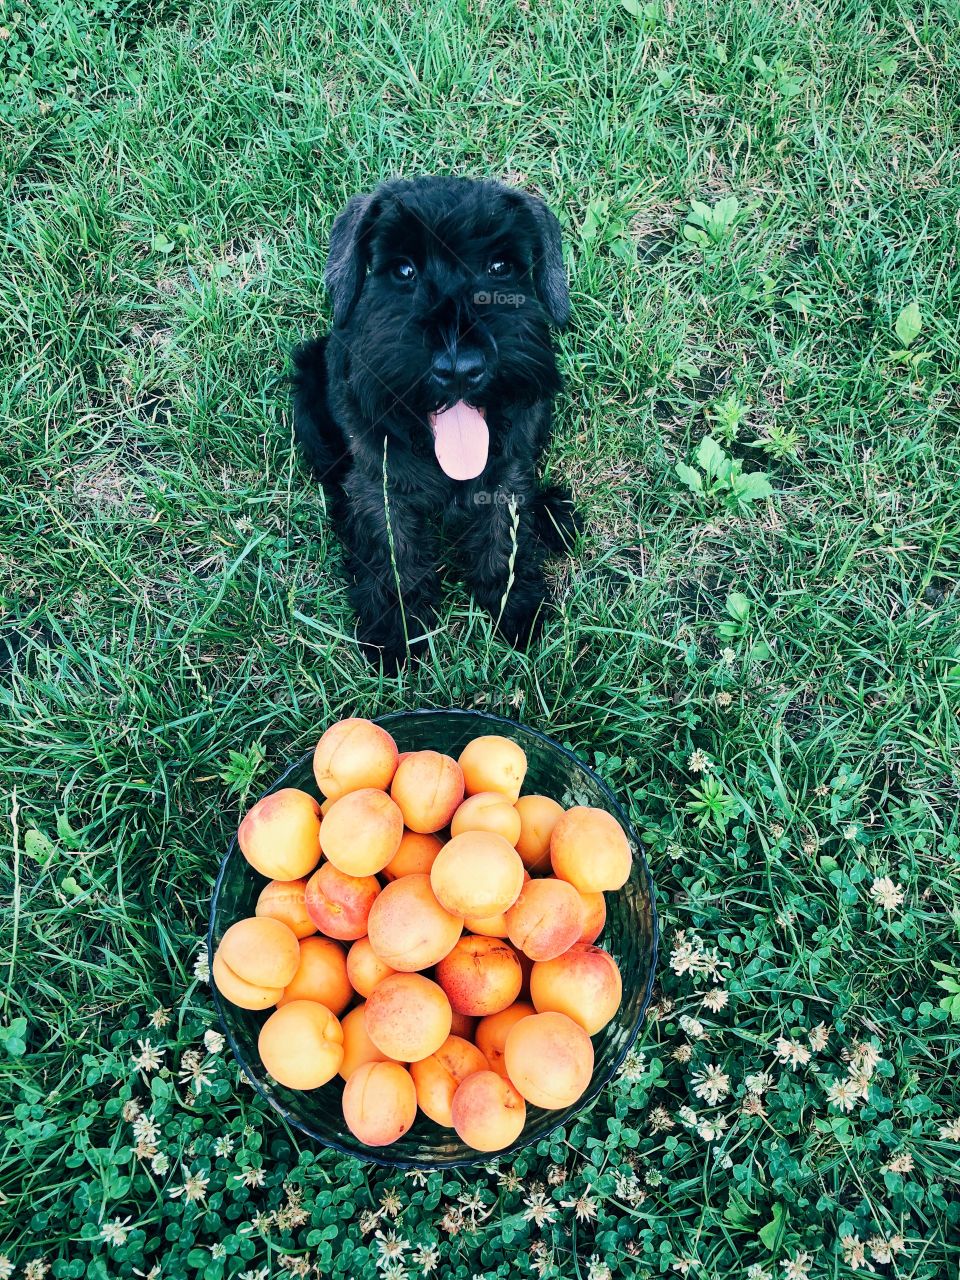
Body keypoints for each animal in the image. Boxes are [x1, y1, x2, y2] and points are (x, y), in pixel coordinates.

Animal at [293, 175, 578, 670]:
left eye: (501, 266)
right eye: (404, 271)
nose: (460, 367)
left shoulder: (505, 475)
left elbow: (503, 537)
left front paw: (514, 609)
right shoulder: (380, 485)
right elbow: (395, 555)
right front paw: (396, 634)